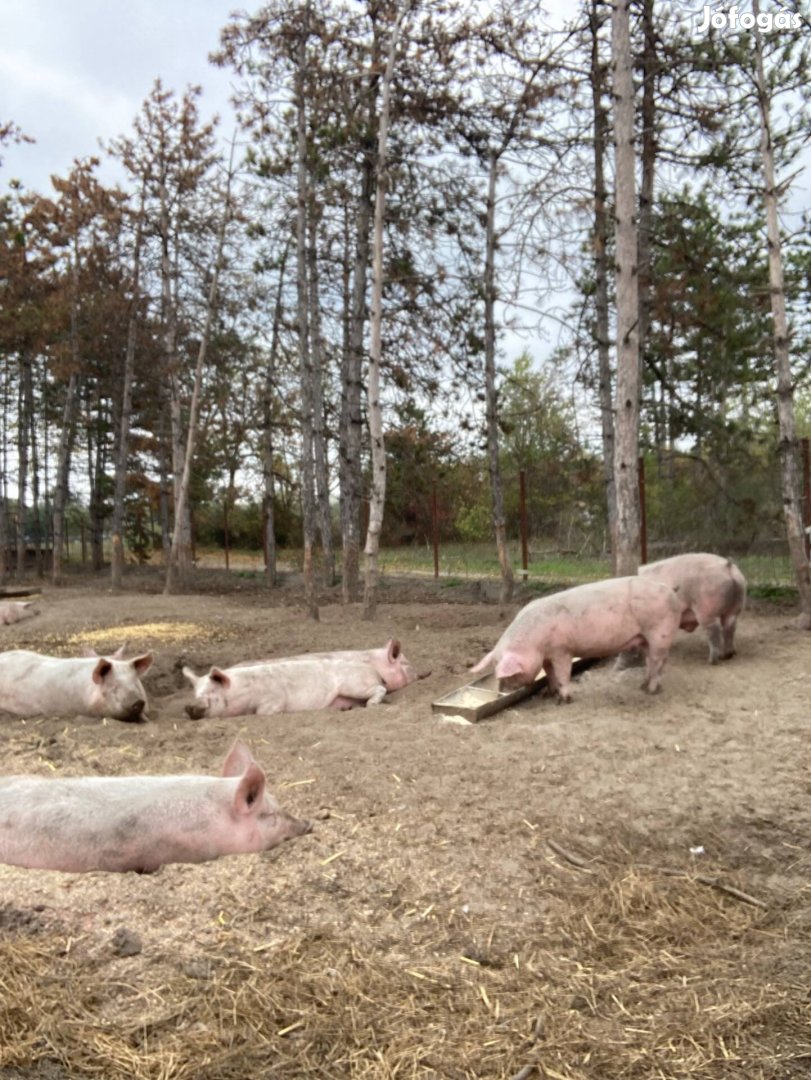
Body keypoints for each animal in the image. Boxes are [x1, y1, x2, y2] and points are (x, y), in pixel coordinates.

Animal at [472, 574, 682, 699]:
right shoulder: (547, 655)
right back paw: (644, 686)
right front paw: (549, 694)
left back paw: (650, 691)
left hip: (659, 632)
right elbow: (550, 673)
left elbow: (563, 674)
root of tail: (671, 592)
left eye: (509, 675)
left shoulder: (562, 650)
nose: (500, 694)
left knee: (657, 661)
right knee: (654, 662)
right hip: (646, 637)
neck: (534, 641)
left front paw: (564, 700)